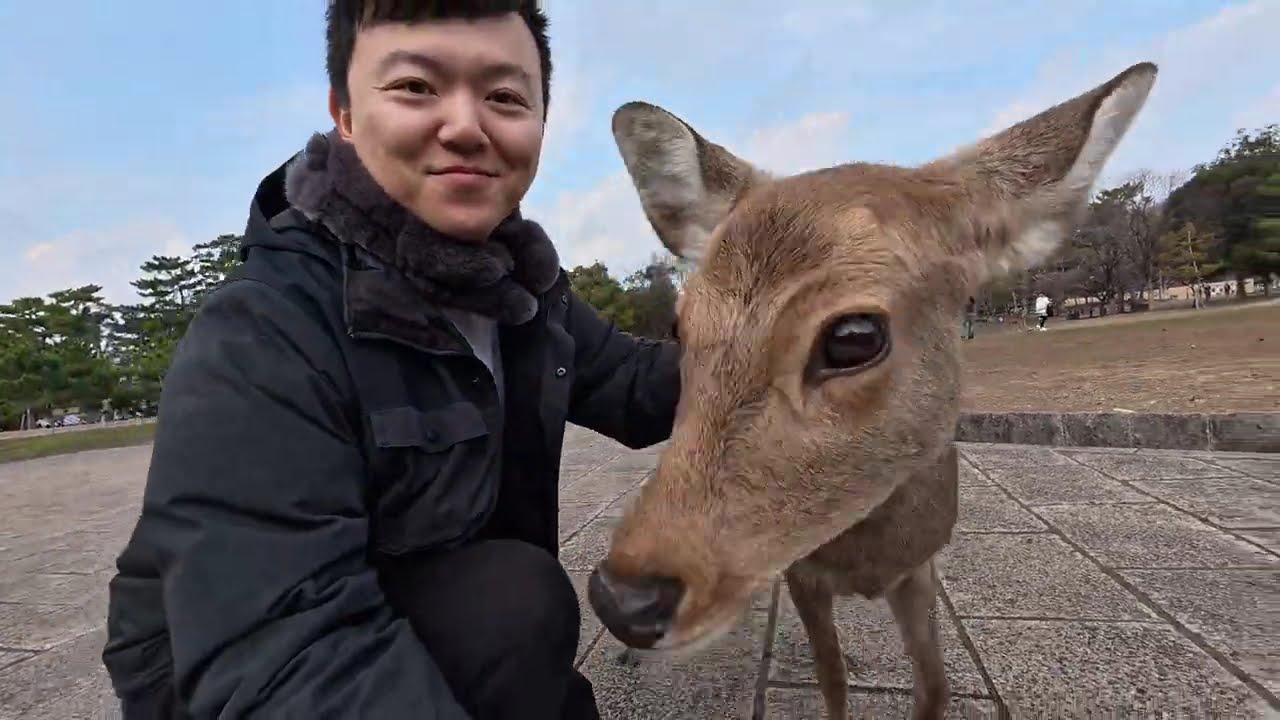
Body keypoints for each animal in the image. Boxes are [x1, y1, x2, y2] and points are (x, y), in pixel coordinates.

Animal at [585, 62, 1157, 719]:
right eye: (682, 327)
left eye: (854, 336)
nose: (623, 597)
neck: (868, 562)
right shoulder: (804, 575)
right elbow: (831, 678)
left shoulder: (920, 568)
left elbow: (934, 683)